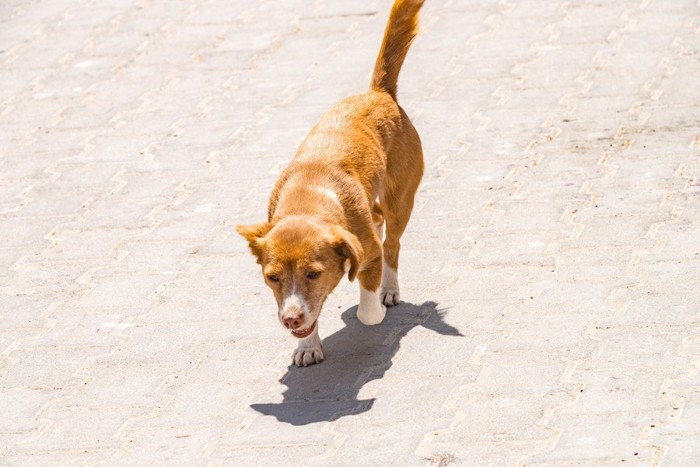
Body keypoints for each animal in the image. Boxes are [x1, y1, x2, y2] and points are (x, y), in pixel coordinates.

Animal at [235, 0, 424, 366]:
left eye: (313, 274)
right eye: (272, 277)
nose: (290, 319)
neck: (307, 198)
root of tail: (378, 93)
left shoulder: (367, 253)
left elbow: (368, 308)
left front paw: (374, 309)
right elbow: (313, 318)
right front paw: (307, 346)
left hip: (401, 201)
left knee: (391, 244)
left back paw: (389, 289)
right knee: (378, 218)